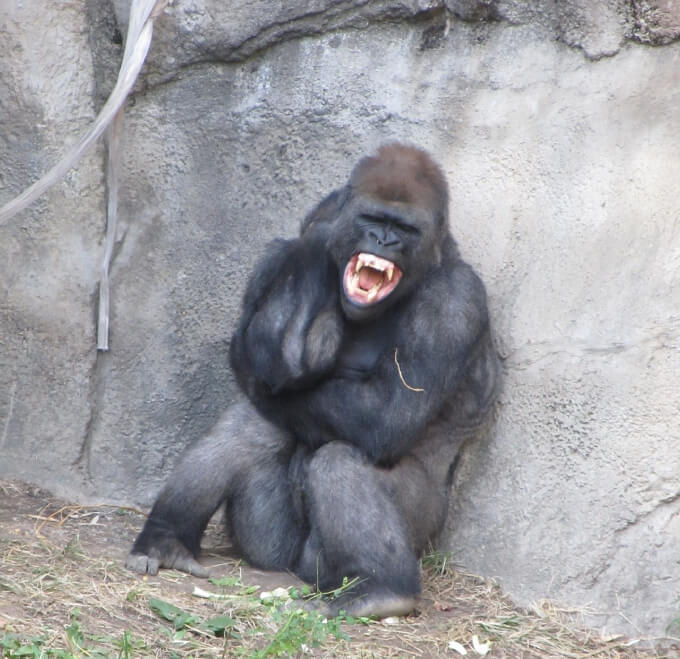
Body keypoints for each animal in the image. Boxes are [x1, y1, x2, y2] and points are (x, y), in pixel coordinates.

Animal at [127, 143, 500, 620]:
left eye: (404, 228)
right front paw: (322, 234)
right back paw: (166, 538)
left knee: (337, 457)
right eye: (373, 219)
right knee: (257, 424)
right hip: (274, 548)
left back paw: (385, 590)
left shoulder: (455, 300)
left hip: (409, 532)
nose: (383, 242)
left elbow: (386, 415)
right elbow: (270, 348)